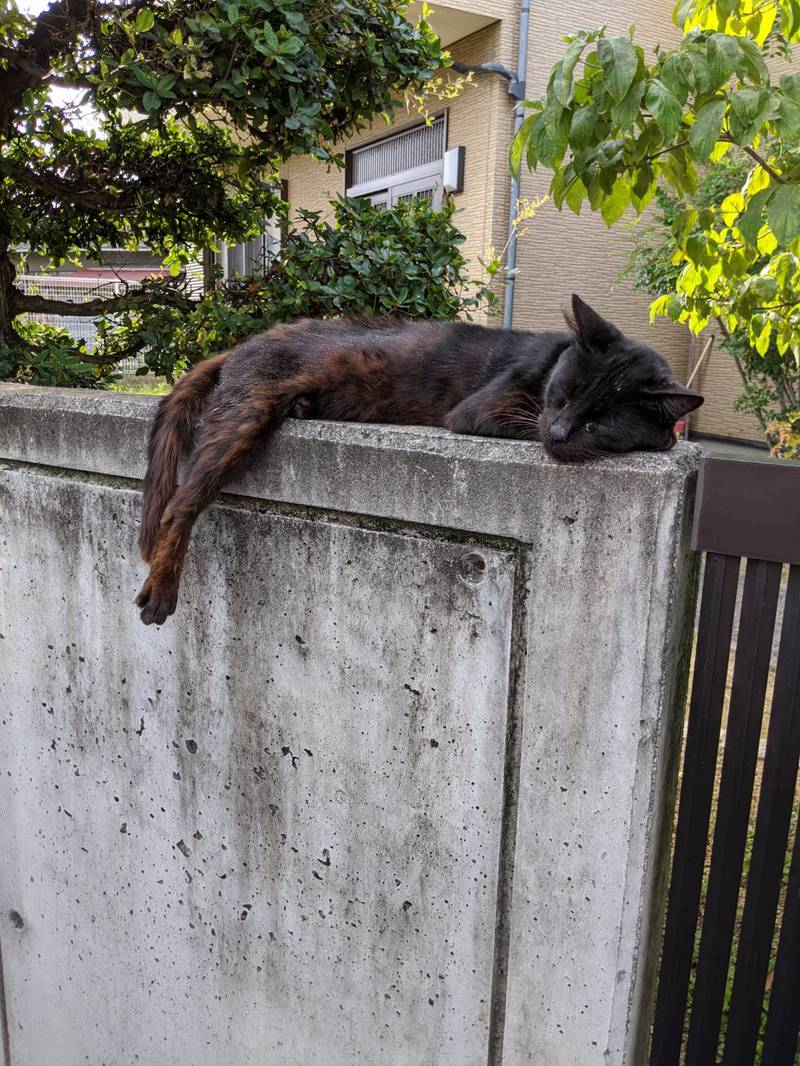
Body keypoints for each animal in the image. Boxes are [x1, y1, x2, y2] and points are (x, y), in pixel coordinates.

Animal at [135, 294, 702, 625]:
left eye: (600, 421)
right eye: (564, 394)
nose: (561, 432)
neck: (550, 360)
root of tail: (239, 347)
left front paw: (665, 440)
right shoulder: (485, 409)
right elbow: (521, 419)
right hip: (246, 414)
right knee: (180, 505)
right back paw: (161, 590)